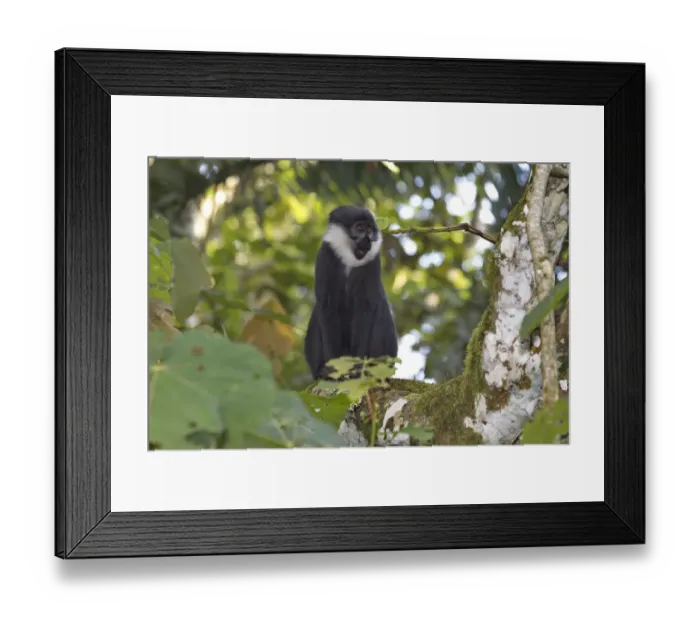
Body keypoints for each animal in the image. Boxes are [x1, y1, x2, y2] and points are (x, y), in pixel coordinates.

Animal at [304, 205, 399, 380]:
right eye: (359, 228)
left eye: (369, 228)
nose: (367, 239)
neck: (350, 258)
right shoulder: (326, 254)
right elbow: (326, 305)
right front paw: (333, 369)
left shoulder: (372, 261)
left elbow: (366, 307)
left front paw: (358, 368)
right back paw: (321, 371)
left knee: (380, 309)